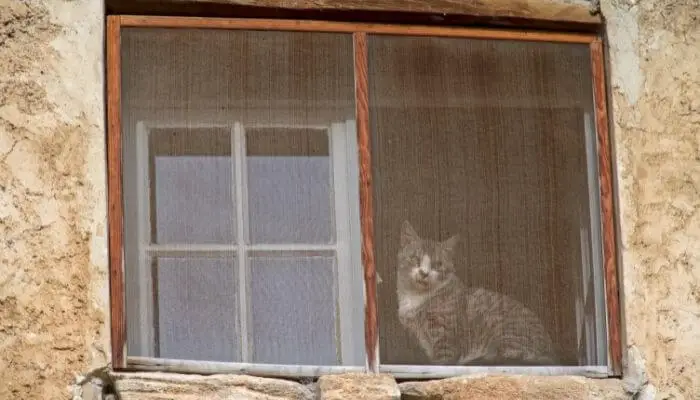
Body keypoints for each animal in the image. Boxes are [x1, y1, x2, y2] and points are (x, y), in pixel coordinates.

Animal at [400, 220, 556, 368]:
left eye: (437, 264)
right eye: (415, 258)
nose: (424, 273)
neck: (417, 296)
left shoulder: (445, 334)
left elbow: (443, 359)